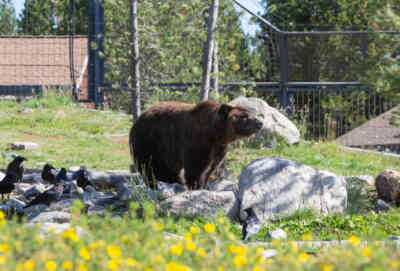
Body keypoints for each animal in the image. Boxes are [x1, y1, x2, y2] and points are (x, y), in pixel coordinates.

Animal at [130, 100, 264, 191]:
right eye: (244, 117)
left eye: (251, 114)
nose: (260, 122)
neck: (215, 133)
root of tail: (138, 118)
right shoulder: (197, 142)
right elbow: (196, 167)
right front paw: (195, 186)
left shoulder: (219, 148)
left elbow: (211, 168)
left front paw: (203, 185)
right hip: (150, 142)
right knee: (149, 166)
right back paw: (156, 183)